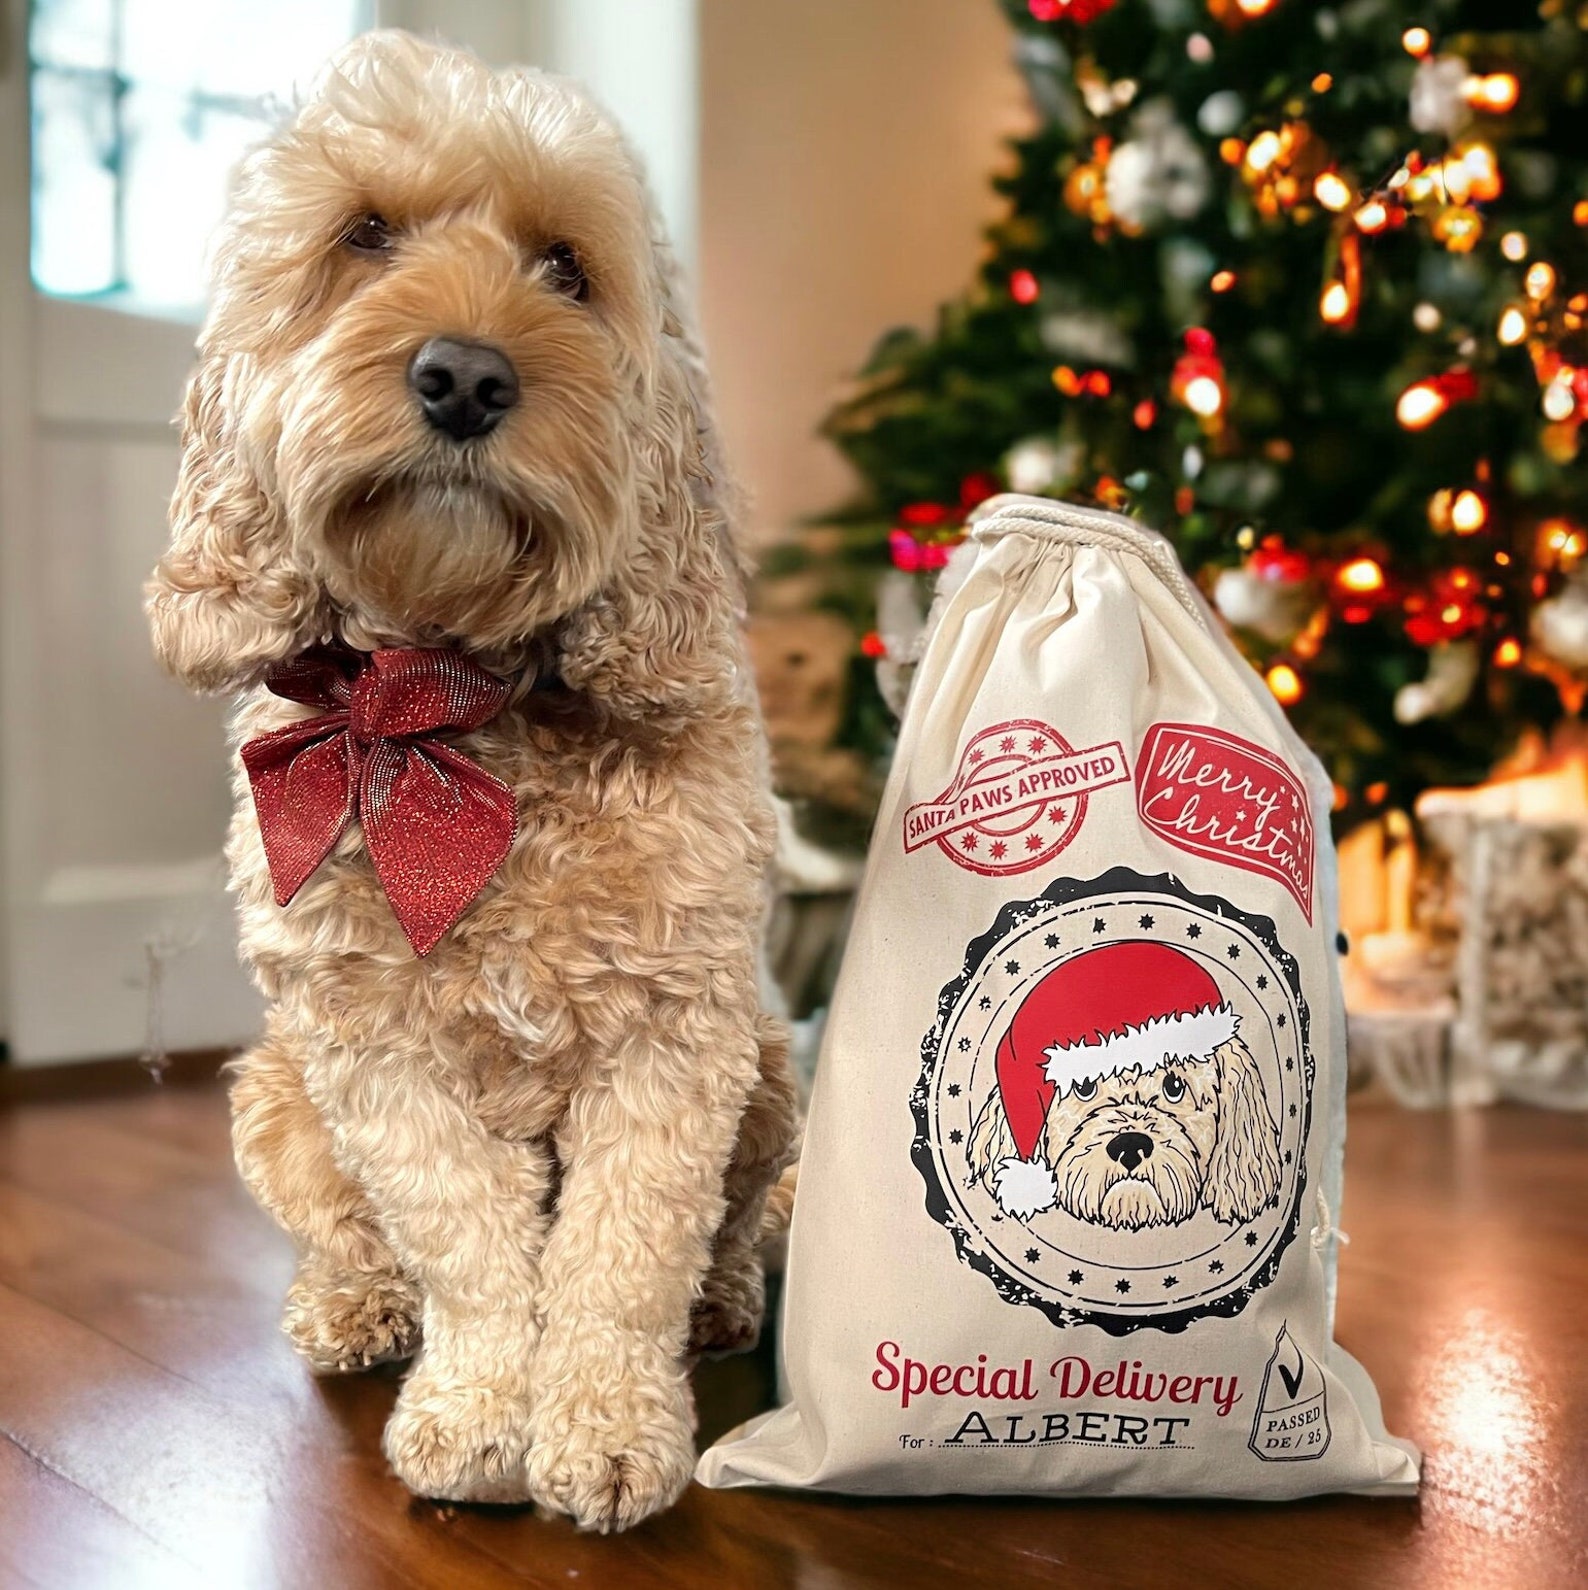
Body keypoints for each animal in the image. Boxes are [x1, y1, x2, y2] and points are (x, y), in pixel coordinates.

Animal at [144, 34, 801, 1526]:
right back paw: (352, 1304)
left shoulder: (680, 1034)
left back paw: (726, 1303)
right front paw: (479, 1413)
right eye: (363, 236)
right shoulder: (370, 1048)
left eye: (566, 266)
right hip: (276, 1095)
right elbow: (463, 1237)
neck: (454, 709)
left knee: (734, 1225)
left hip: (774, 1074)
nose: (463, 376)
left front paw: (609, 1426)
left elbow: (624, 1251)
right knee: (347, 1232)